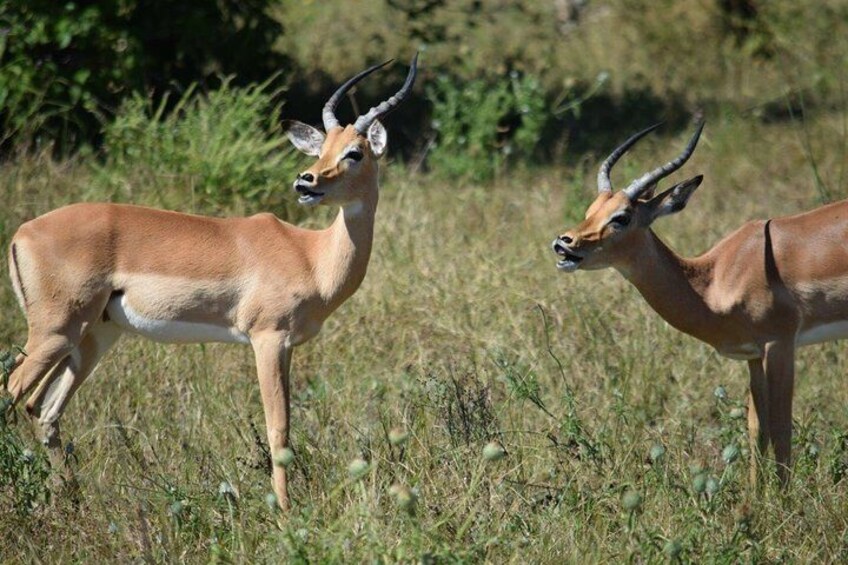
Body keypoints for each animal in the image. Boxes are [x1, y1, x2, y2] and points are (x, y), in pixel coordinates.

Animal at [3, 54, 418, 509]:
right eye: (322, 148)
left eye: (354, 152)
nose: (305, 181)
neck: (310, 256)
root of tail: (22, 232)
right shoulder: (267, 339)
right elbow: (279, 429)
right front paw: (286, 510)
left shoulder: (287, 346)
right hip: (56, 331)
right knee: (13, 390)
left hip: (93, 336)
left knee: (44, 410)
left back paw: (73, 498)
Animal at [551, 118, 848, 487]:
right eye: (591, 210)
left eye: (621, 217)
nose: (563, 243)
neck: (713, 278)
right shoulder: (753, 355)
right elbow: (757, 430)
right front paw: (755, 497)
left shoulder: (780, 344)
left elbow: (781, 432)